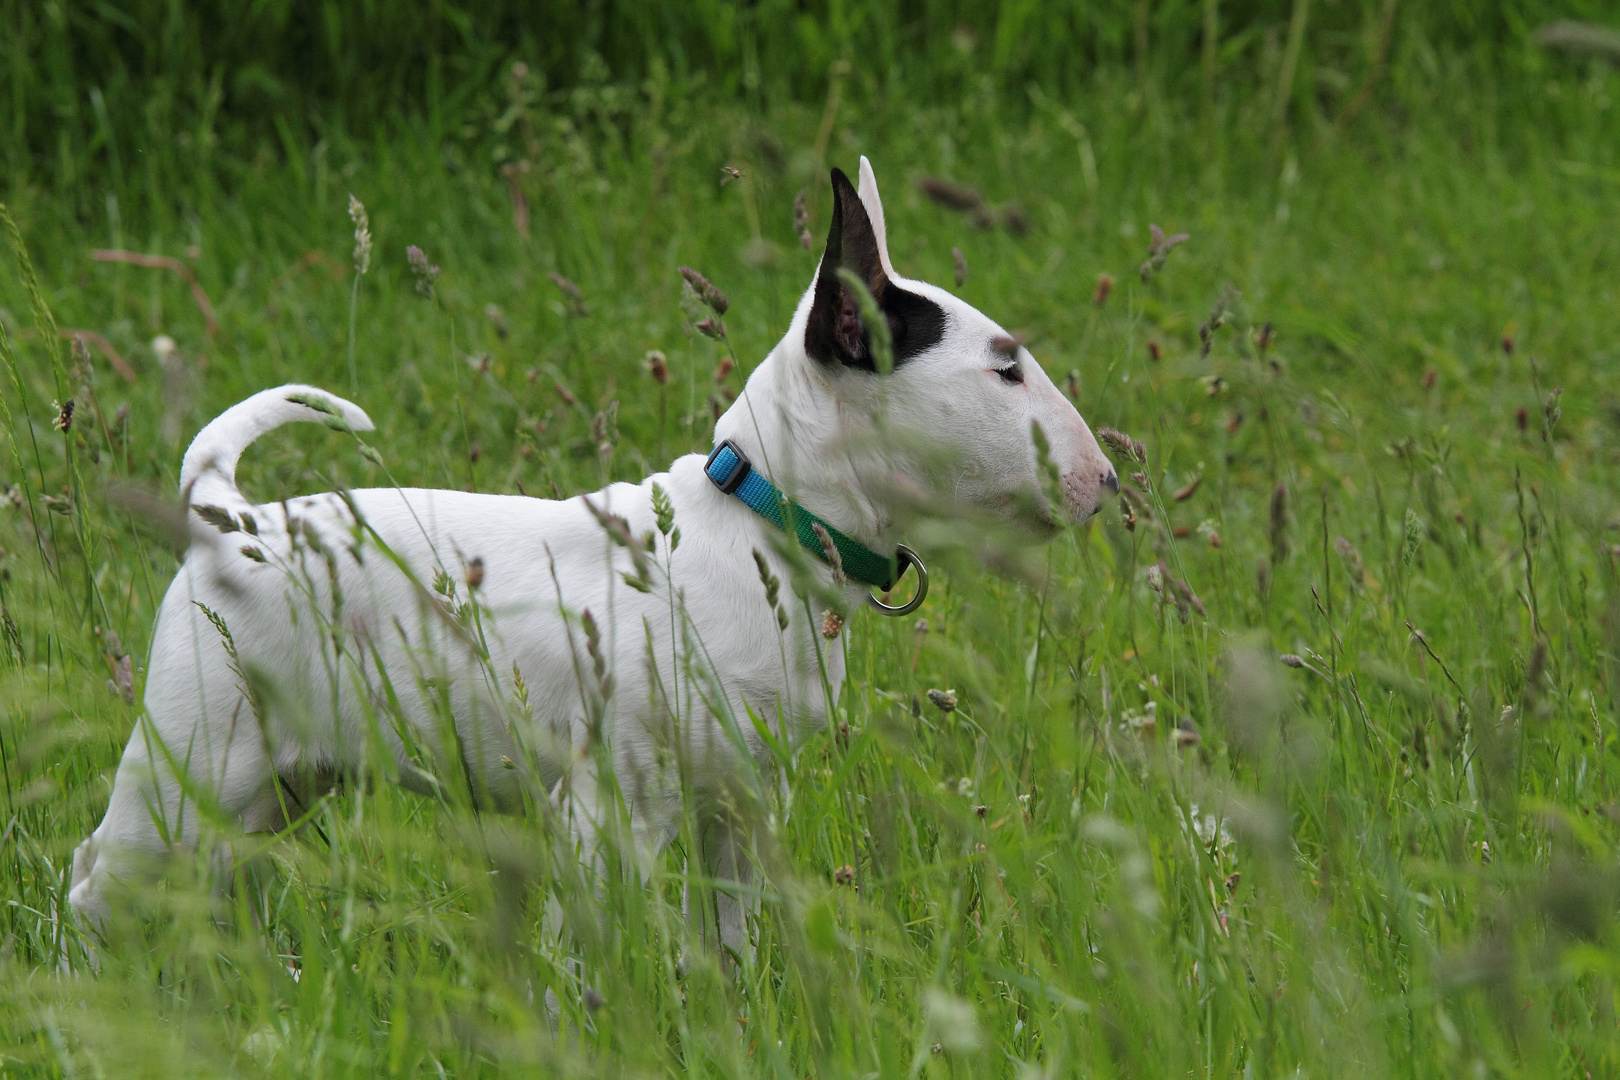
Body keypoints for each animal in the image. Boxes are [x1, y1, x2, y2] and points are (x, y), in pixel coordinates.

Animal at [69, 158, 1121, 952]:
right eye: (1006, 367)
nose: (1107, 481)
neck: (761, 529)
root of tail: (226, 516)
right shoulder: (610, 812)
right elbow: (598, 957)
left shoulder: (743, 811)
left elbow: (729, 944)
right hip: (190, 759)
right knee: (93, 878)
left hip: (274, 785)